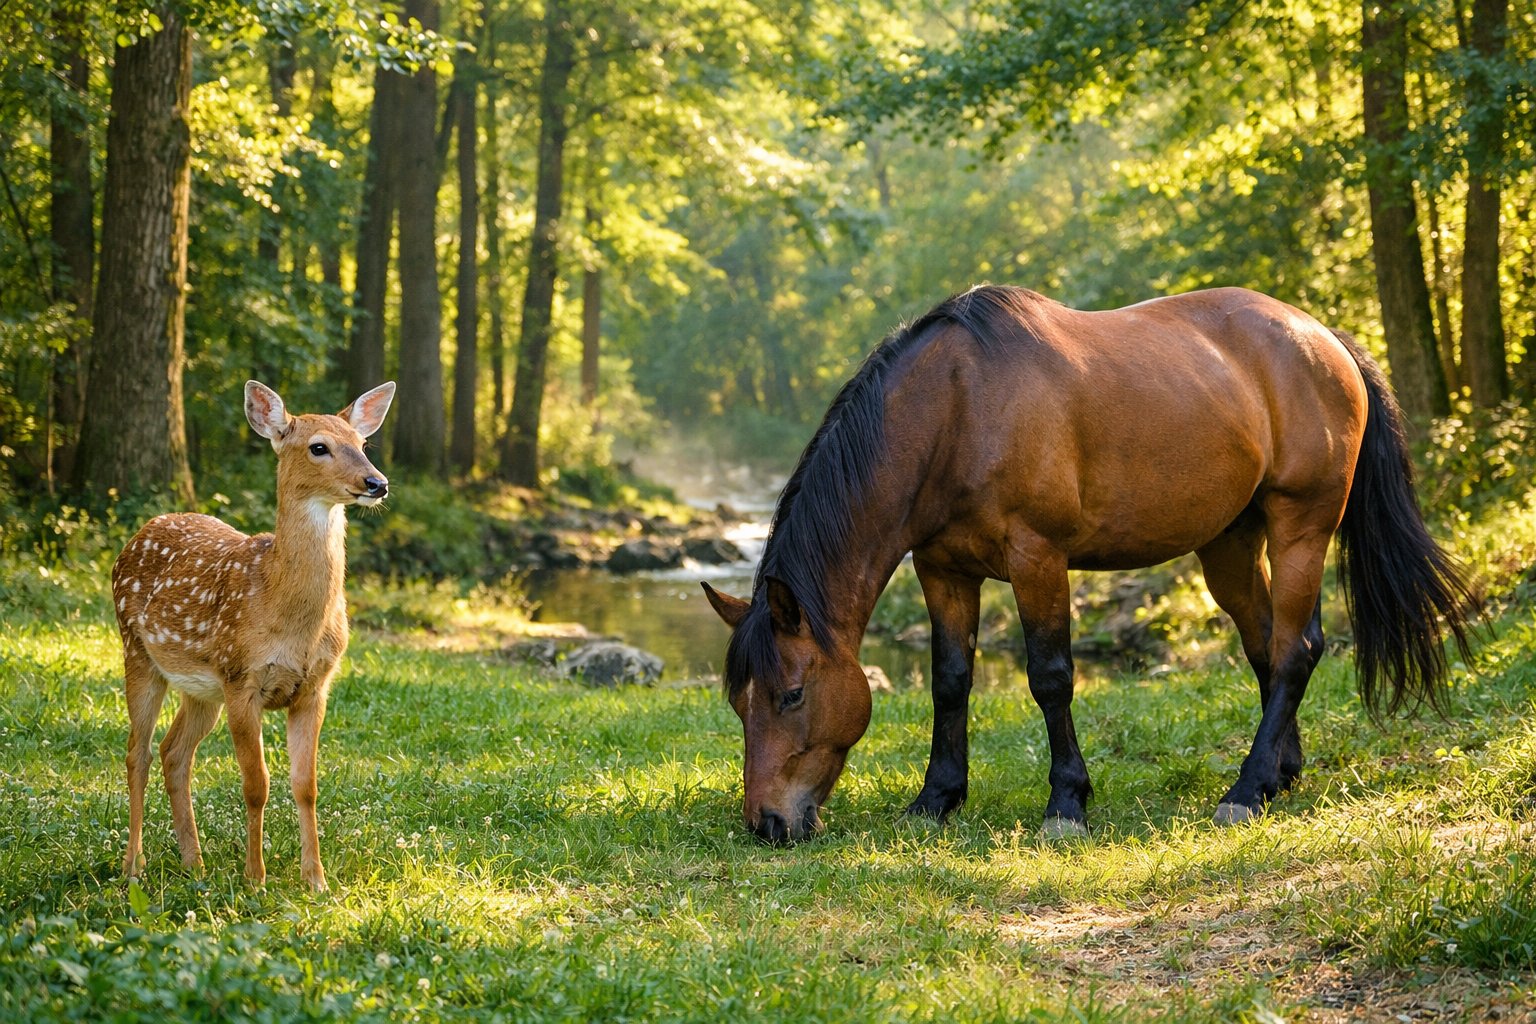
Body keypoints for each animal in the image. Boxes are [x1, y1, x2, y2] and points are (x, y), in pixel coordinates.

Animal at [113, 380, 395, 891]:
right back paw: (134, 867)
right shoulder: (243, 678)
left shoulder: (314, 687)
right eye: (318, 447)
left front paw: (316, 880)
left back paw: (195, 863)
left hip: (201, 689)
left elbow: (306, 785)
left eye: (362, 444)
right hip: (138, 653)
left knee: (173, 752)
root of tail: (142, 530)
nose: (376, 483)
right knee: (136, 753)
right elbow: (256, 785)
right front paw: (255, 879)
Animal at [703, 284, 1475, 843]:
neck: (956, 409)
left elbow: (1050, 678)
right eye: (739, 701)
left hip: (1301, 529)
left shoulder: (1037, 558)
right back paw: (1277, 777)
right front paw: (936, 799)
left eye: (791, 695)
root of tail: (1326, 339)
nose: (768, 823)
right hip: (1230, 543)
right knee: (1269, 645)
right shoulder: (942, 570)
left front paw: (1066, 804)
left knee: (1295, 650)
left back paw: (1243, 792)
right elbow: (950, 681)